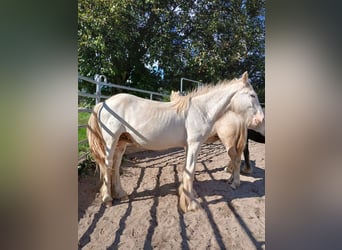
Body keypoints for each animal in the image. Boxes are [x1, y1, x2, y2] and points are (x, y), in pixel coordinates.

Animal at [87, 72, 264, 213]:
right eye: (252, 95)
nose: (260, 120)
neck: (201, 111)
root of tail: (102, 103)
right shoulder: (194, 145)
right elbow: (190, 171)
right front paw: (191, 204)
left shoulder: (188, 146)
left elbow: (187, 170)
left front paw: (188, 197)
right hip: (111, 141)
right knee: (108, 165)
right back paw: (107, 199)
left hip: (121, 143)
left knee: (116, 165)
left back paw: (121, 194)